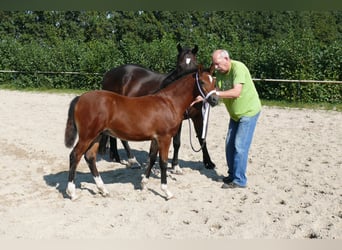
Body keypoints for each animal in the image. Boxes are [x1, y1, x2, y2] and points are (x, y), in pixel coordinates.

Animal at [64, 65, 218, 200]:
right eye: (202, 82)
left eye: (214, 82)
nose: (215, 100)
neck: (169, 103)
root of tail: (79, 98)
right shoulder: (165, 138)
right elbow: (163, 162)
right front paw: (166, 191)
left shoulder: (156, 138)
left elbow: (152, 158)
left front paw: (144, 183)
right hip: (87, 136)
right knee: (75, 155)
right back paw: (72, 193)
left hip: (96, 136)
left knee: (90, 157)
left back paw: (103, 190)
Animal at [99, 44, 216, 172]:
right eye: (179, 66)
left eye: (194, 64)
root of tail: (109, 73)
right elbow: (177, 142)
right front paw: (175, 165)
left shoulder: (198, 117)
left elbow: (201, 138)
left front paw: (209, 163)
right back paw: (132, 160)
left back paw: (116, 156)